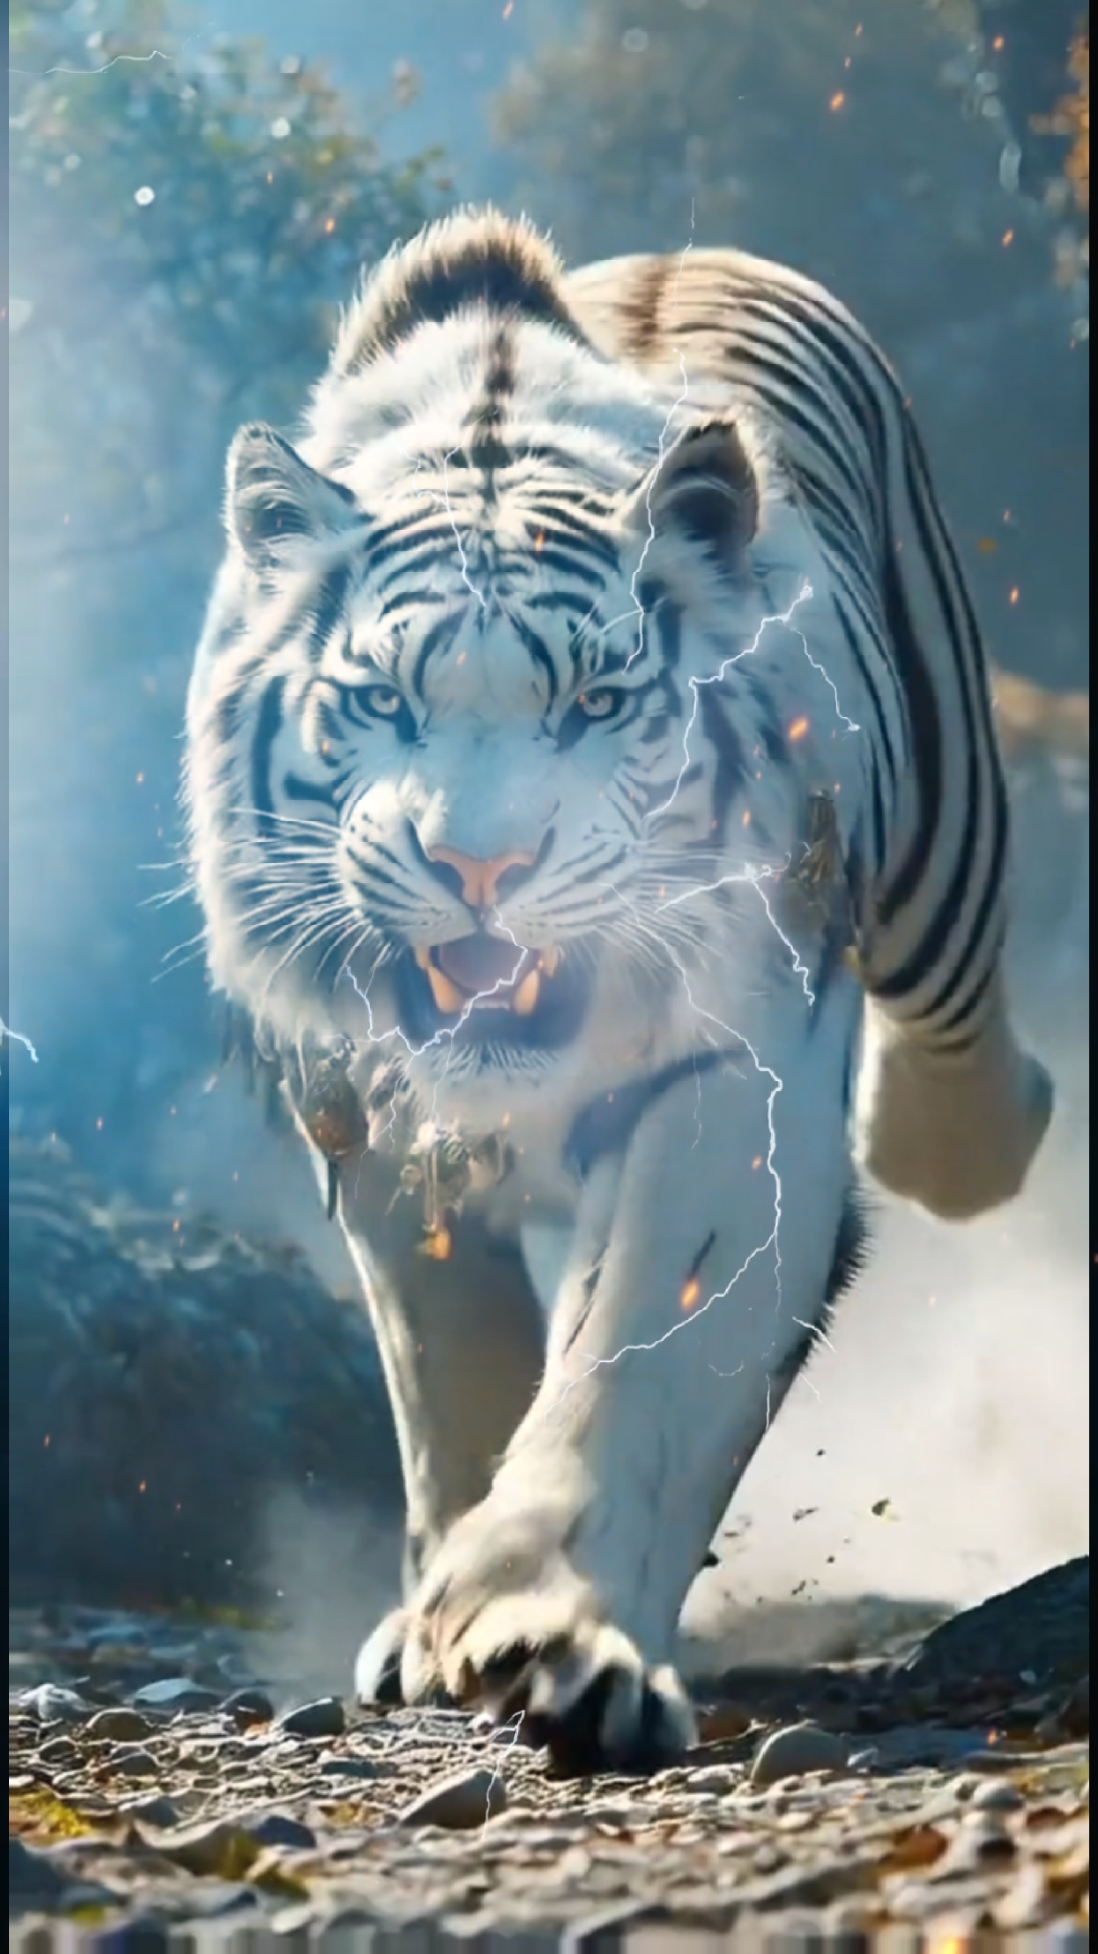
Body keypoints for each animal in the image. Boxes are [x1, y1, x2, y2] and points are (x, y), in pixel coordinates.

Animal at [184, 206, 1053, 1773]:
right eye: (383, 703)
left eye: (594, 704)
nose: (480, 863)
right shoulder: (369, 1127)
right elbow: (454, 1376)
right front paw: (430, 1622)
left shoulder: (727, 1092)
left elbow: (631, 1363)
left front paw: (538, 1631)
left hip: (948, 839)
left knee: (960, 1075)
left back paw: (955, 1125)